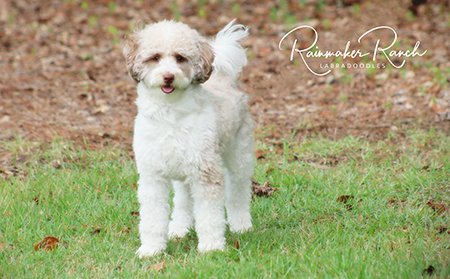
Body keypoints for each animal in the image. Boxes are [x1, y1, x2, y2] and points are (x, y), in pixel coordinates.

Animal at [123, 18, 255, 258]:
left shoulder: (206, 172)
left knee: (238, 193)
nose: (168, 76)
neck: (170, 114)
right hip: (182, 172)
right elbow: (152, 218)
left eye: (180, 58)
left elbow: (210, 216)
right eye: (155, 57)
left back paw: (241, 225)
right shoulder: (152, 176)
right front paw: (151, 249)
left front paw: (212, 247)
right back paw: (179, 228)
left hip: (239, 156)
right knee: (183, 201)